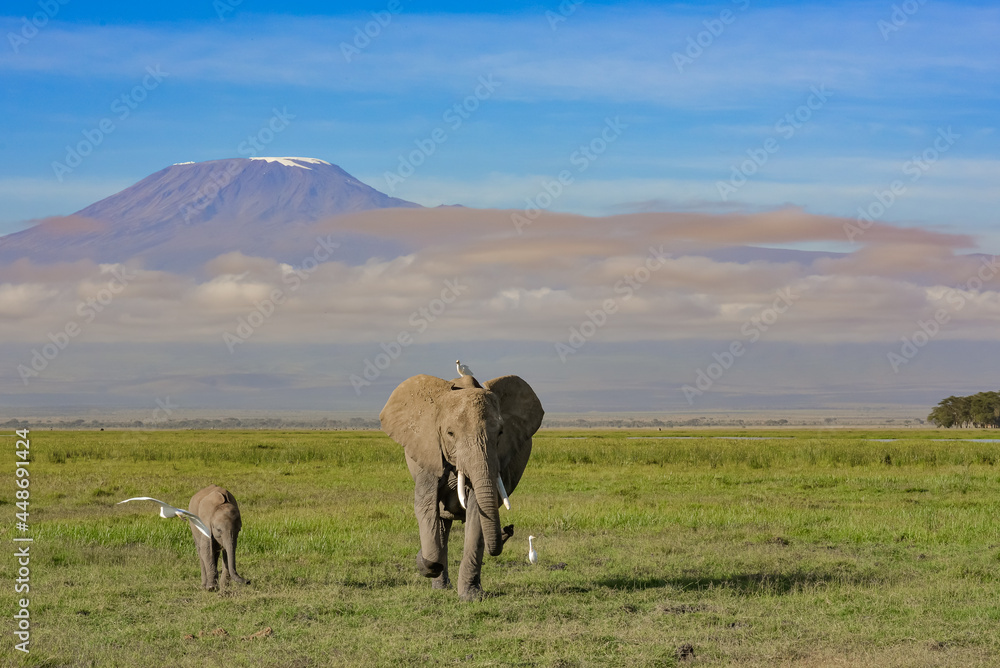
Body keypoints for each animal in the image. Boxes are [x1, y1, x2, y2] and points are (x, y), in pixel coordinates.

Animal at [380, 373, 544, 601]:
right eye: (450, 433)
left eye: (500, 433)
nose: (508, 529)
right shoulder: (427, 452)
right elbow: (426, 507)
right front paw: (428, 560)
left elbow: (477, 513)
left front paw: (471, 596)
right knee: (440, 523)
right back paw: (440, 584)